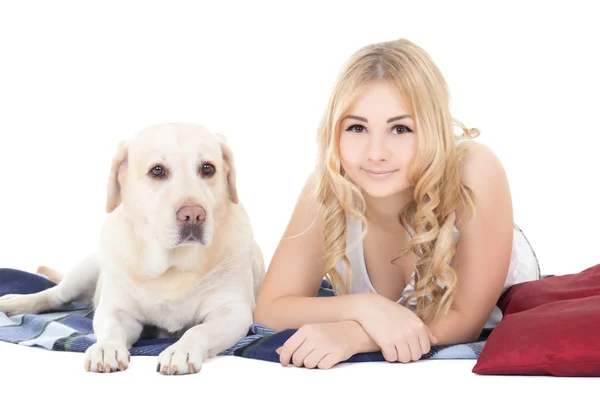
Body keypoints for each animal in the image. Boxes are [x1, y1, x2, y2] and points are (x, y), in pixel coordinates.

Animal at [0, 122, 264, 376]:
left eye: (208, 168)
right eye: (157, 170)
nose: (193, 215)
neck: (172, 267)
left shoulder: (233, 312)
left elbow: (199, 330)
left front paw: (181, 350)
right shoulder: (116, 310)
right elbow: (111, 328)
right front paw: (106, 349)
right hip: (83, 273)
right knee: (52, 296)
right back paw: (11, 302)